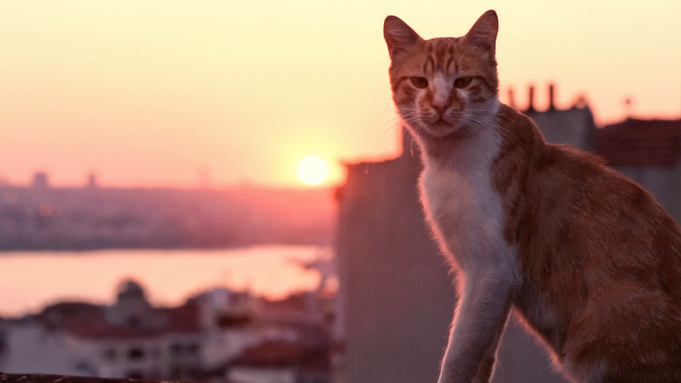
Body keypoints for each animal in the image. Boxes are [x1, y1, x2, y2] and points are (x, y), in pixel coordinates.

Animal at [386, 9, 680, 383]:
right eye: (420, 82)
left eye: (463, 82)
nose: (439, 105)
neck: (449, 162)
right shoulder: (489, 286)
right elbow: (482, 354)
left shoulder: (490, 270)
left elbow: (459, 356)